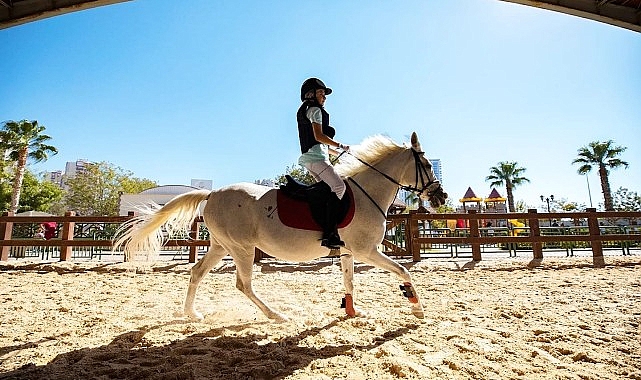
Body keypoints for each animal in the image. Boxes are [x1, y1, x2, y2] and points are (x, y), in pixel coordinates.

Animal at [115, 133, 444, 320]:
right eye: (428, 165)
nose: (441, 197)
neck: (366, 193)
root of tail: (211, 194)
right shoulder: (367, 251)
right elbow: (403, 272)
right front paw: (417, 307)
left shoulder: (349, 252)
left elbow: (349, 282)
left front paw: (352, 311)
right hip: (242, 249)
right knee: (243, 284)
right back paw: (276, 315)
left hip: (221, 246)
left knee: (197, 272)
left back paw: (192, 314)